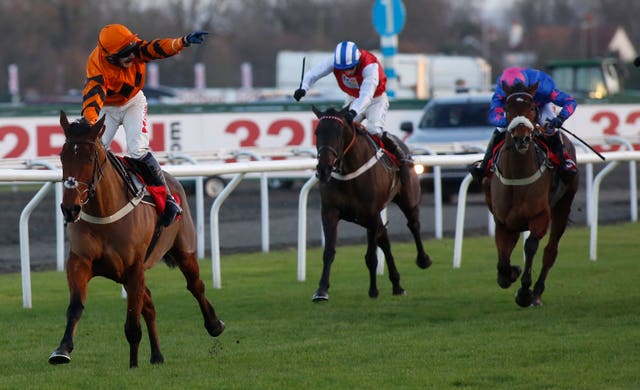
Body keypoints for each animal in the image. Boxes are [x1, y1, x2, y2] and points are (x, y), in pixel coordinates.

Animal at [47, 111, 224, 368]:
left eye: (90, 157)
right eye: (62, 156)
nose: (70, 209)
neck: (105, 213)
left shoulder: (133, 267)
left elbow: (132, 322)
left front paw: (133, 365)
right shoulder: (80, 262)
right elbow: (75, 307)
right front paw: (62, 349)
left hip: (184, 250)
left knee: (195, 285)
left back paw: (214, 324)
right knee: (148, 303)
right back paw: (157, 355)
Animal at [310, 106, 430, 302]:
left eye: (339, 133)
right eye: (317, 132)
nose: (323, 169)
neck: (348, 172)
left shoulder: (372, 214)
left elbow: (371, 257)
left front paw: (373, 290)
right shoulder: (330, 212)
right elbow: (328, 252)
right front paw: (321, 290)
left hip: (408, 199)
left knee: (413, 225)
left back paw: (423, 260)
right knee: (385, 240)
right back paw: (397, 284)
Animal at [482, 83, 576, 308]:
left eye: (532, 108)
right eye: (507, 109)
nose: (521, 138)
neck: (518, 175)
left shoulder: (540, 216)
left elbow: (531, 246)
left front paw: (524, 292)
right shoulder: (502, 221)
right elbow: (503, 259)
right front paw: (510, 273)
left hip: (564, 205)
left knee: (550, 251)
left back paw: (537, 293)